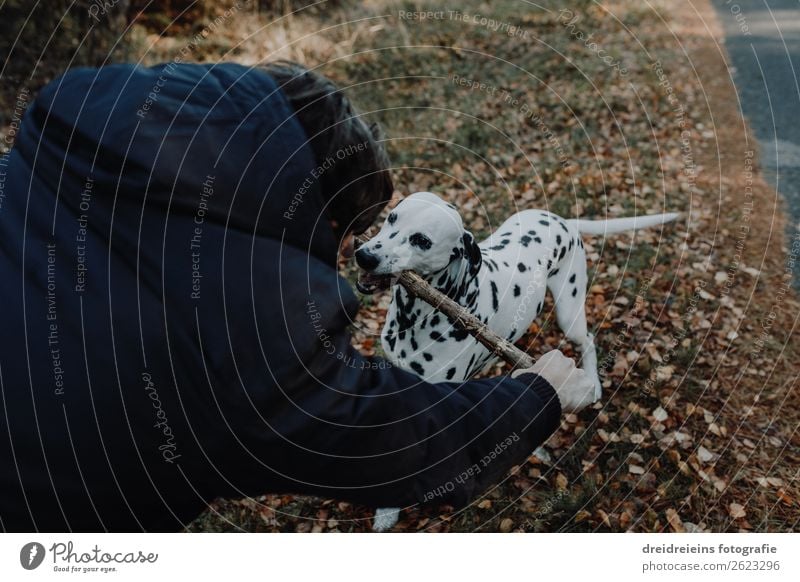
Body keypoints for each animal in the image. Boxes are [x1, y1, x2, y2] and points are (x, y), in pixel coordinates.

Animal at [360, 192, 680, 532]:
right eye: (391, 217)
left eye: (421, 240)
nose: (364, 256)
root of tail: (564, 221)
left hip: (569, 313)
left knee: (588, 340)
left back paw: (593, 384)